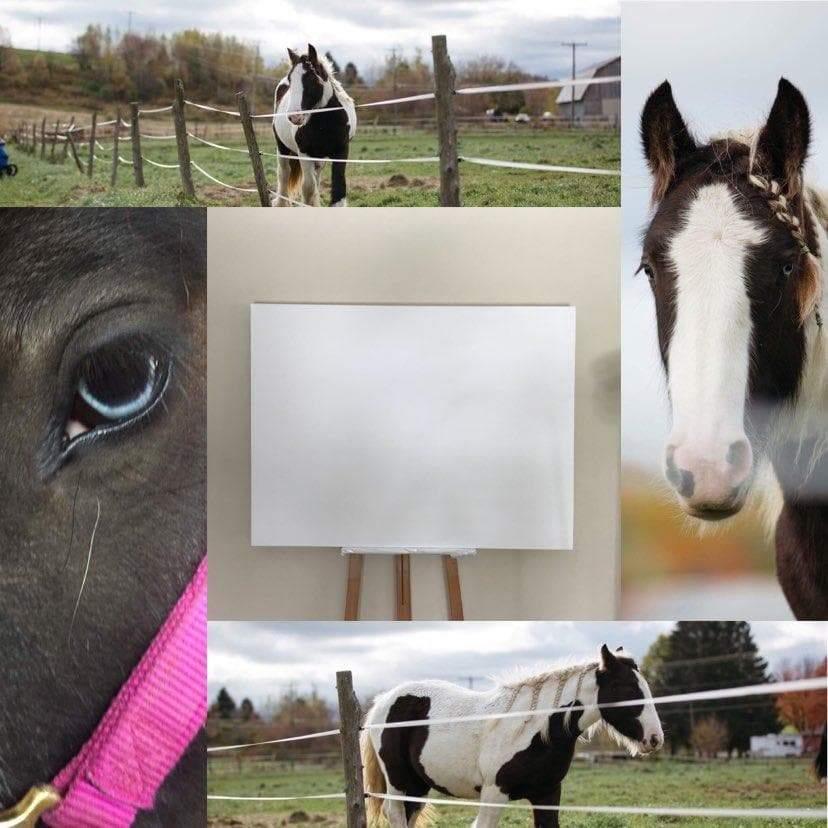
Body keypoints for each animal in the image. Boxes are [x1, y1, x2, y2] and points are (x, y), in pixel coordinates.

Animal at [272, 44, 357, 207]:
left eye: (312, 79)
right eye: (291, 80)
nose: (294, 117)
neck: (326, 122)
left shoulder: (342, 151)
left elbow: (338, 190)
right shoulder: (305, 153)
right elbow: (308, 189)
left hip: (319, 158)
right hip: (283, 148)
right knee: (284, 175)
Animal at [362, 645, 663, 827]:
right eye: (627, 688)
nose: (655, 738)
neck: (533, 730)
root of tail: (382, 701)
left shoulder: (547, 794)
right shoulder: (494, 795)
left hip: (417, 784)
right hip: (398, 781)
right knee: (395, 813)